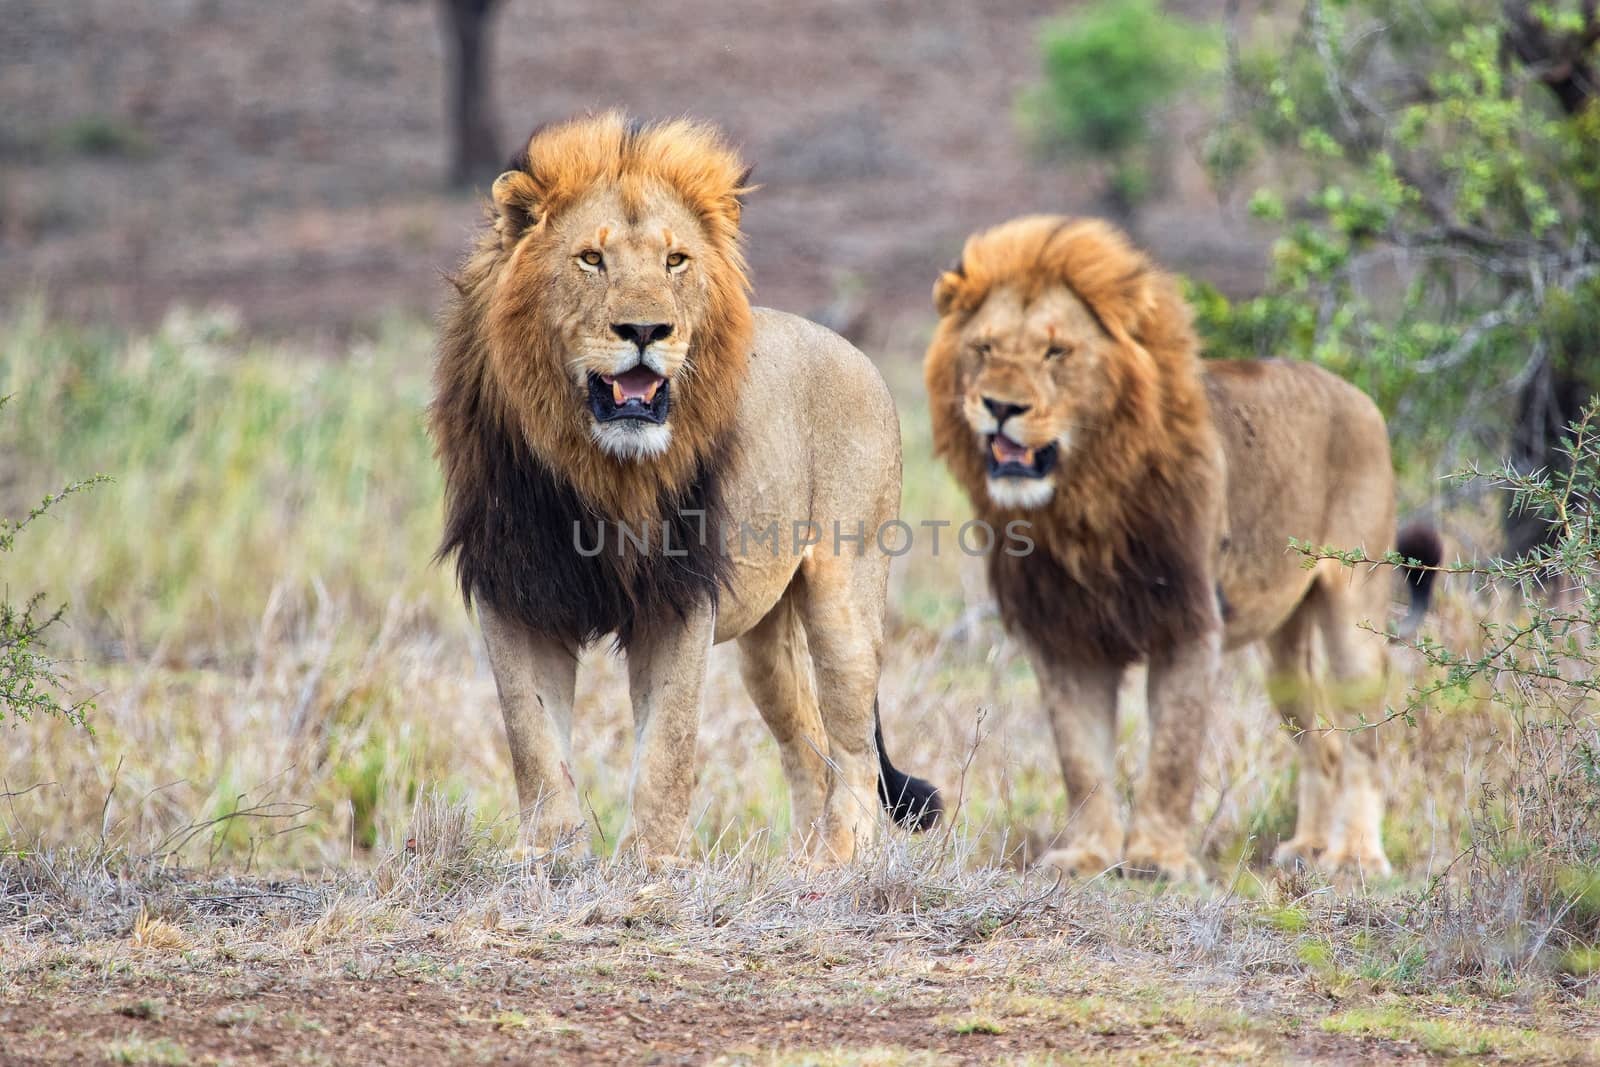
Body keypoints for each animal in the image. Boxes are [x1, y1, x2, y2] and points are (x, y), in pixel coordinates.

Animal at [432, 112, 940, 870]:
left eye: (675, 261)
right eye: (591, 258)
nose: (646, 330)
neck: (599, 469)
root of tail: (852, 350)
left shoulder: (679, 596)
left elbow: (667, 747)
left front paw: (653, 862)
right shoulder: (515, 588)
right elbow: (533, 739)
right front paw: (548, 854)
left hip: (844, 591)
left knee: (853, 753)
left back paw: (839, 863)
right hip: (765, 640)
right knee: (808, 747)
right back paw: (795, 866)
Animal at [928, 212, 1440, 883]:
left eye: (1056, 351)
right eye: (984, 348)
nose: (1000, 407)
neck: (1079, 506)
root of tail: (1356, 395)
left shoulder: (1188, 621)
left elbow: (1173, 750)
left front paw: (1156, 860)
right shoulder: (1062, 635)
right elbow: (1081, 759)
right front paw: (1089, 854)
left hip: (1353, 609)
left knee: (1364, 738)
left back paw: (1355, 856)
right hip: (1283, 649)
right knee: (1319, 743)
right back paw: (1307, 847)